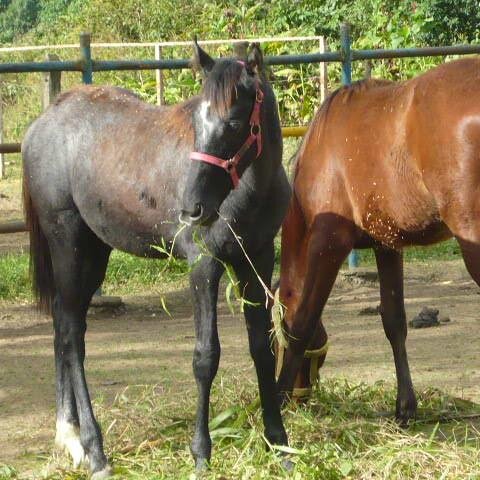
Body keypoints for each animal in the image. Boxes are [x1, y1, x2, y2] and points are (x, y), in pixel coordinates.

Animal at [276, 57, 480, 424]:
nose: (302, 397)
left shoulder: (329, 244)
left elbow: (304, 321)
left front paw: (276, 400)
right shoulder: (387, 244)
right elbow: (394, 321)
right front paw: (405, 407)